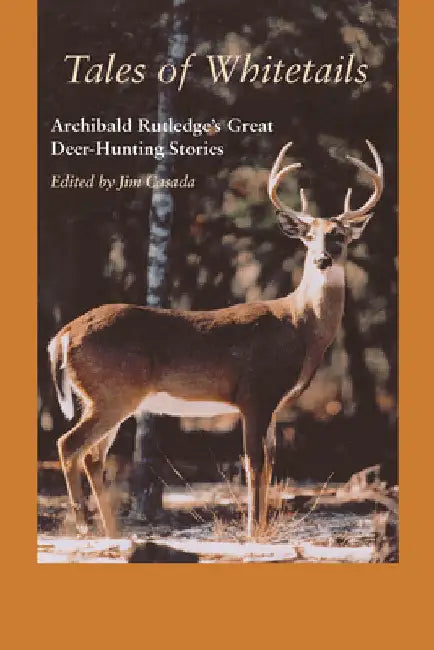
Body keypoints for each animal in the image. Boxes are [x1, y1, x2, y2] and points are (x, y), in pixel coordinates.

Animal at [48, 140, 383, 539]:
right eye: (308, 236)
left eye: (339, 237)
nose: (321, 260)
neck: (300, 328)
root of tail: (63, 335)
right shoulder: (255, 393)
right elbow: (253, 463)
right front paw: (253, 531)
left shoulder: (274, 405)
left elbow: (270, 463)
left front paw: (261, 528)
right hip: (112, 392)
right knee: (69, 444)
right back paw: (85, 526)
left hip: (104, 397)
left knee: (93, 456)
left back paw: (113, 533)